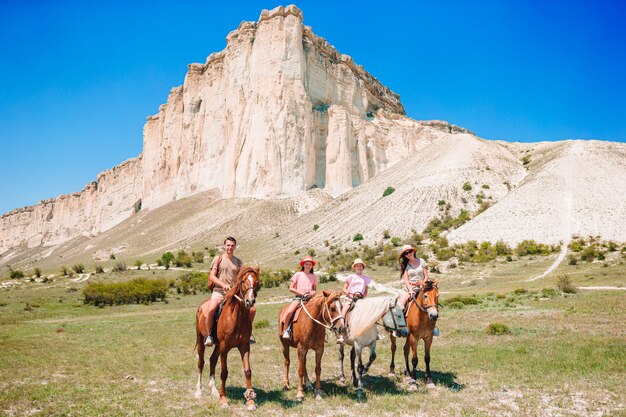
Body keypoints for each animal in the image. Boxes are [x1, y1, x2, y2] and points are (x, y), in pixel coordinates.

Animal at [195, 264, 258, 408]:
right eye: (243, 281)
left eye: (257, 282)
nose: (249, 301)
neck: (237, 317)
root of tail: (201, 307)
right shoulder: (224, 347)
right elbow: (224, 372)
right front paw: (223, 399)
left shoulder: (244, 346)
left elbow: (248, 371)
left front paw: (250, 399)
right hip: (201, 341)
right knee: (201, 362)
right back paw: (199, 391)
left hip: (217, 346)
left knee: (212, 360)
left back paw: (213, 390)